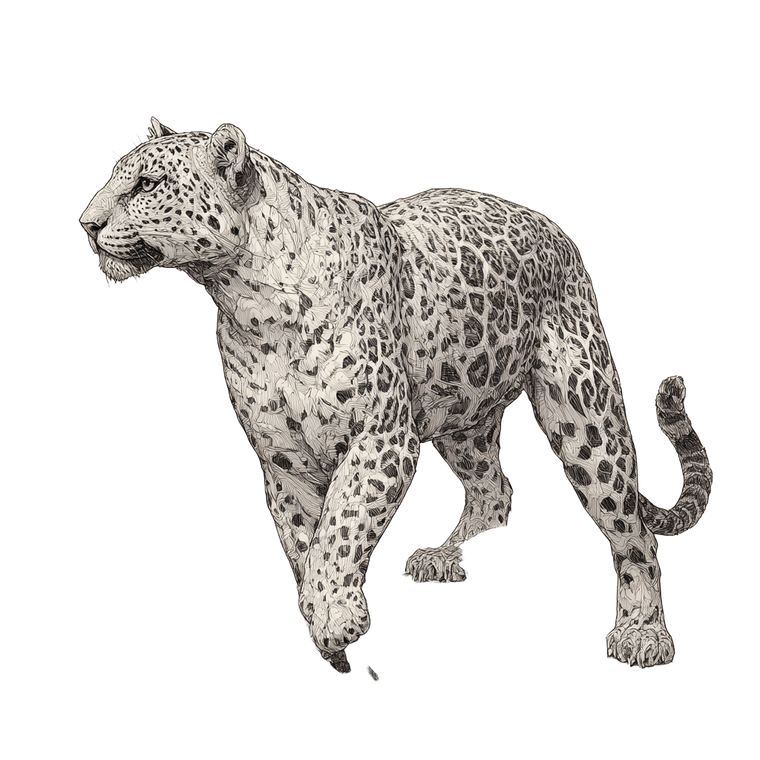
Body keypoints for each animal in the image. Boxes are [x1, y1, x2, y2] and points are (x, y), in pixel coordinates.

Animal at [78, 115, 716, 676]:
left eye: (146, 184)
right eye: (114, 178)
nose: (86, 223)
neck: (248, 301)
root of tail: (551, 227)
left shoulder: (380, 438)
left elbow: (341, 525)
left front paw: (335, 617)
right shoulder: (283, 464)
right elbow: (307, 542)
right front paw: (328, 633)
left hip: (584, 414)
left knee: (630, 528)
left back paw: (642, 635)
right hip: (459, 413)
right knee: (497, 491)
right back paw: (442, 557)